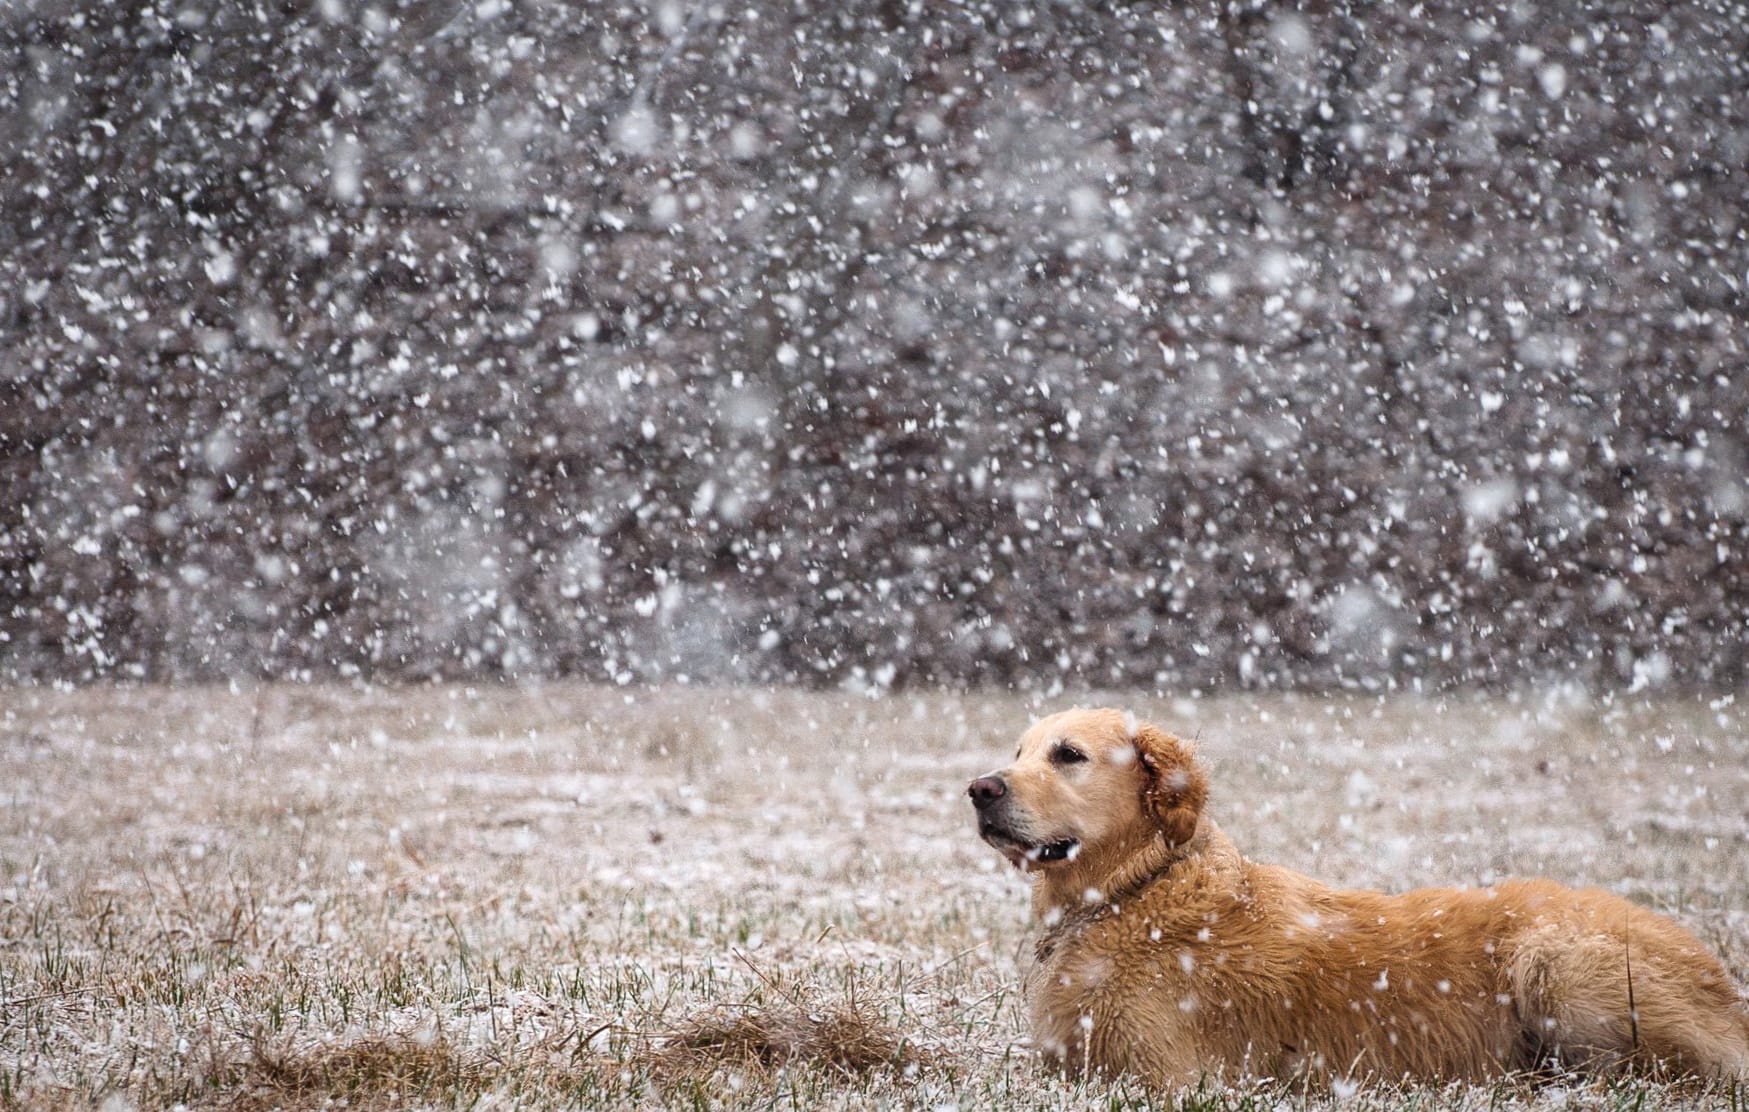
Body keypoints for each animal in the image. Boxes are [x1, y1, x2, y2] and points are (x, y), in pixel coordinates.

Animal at [972, 713, 1749, 1084]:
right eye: (1018, 751)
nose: (979, 788)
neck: (1136, 889)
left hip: (1558, 963)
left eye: (1068, 755)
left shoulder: (1163, 1077)